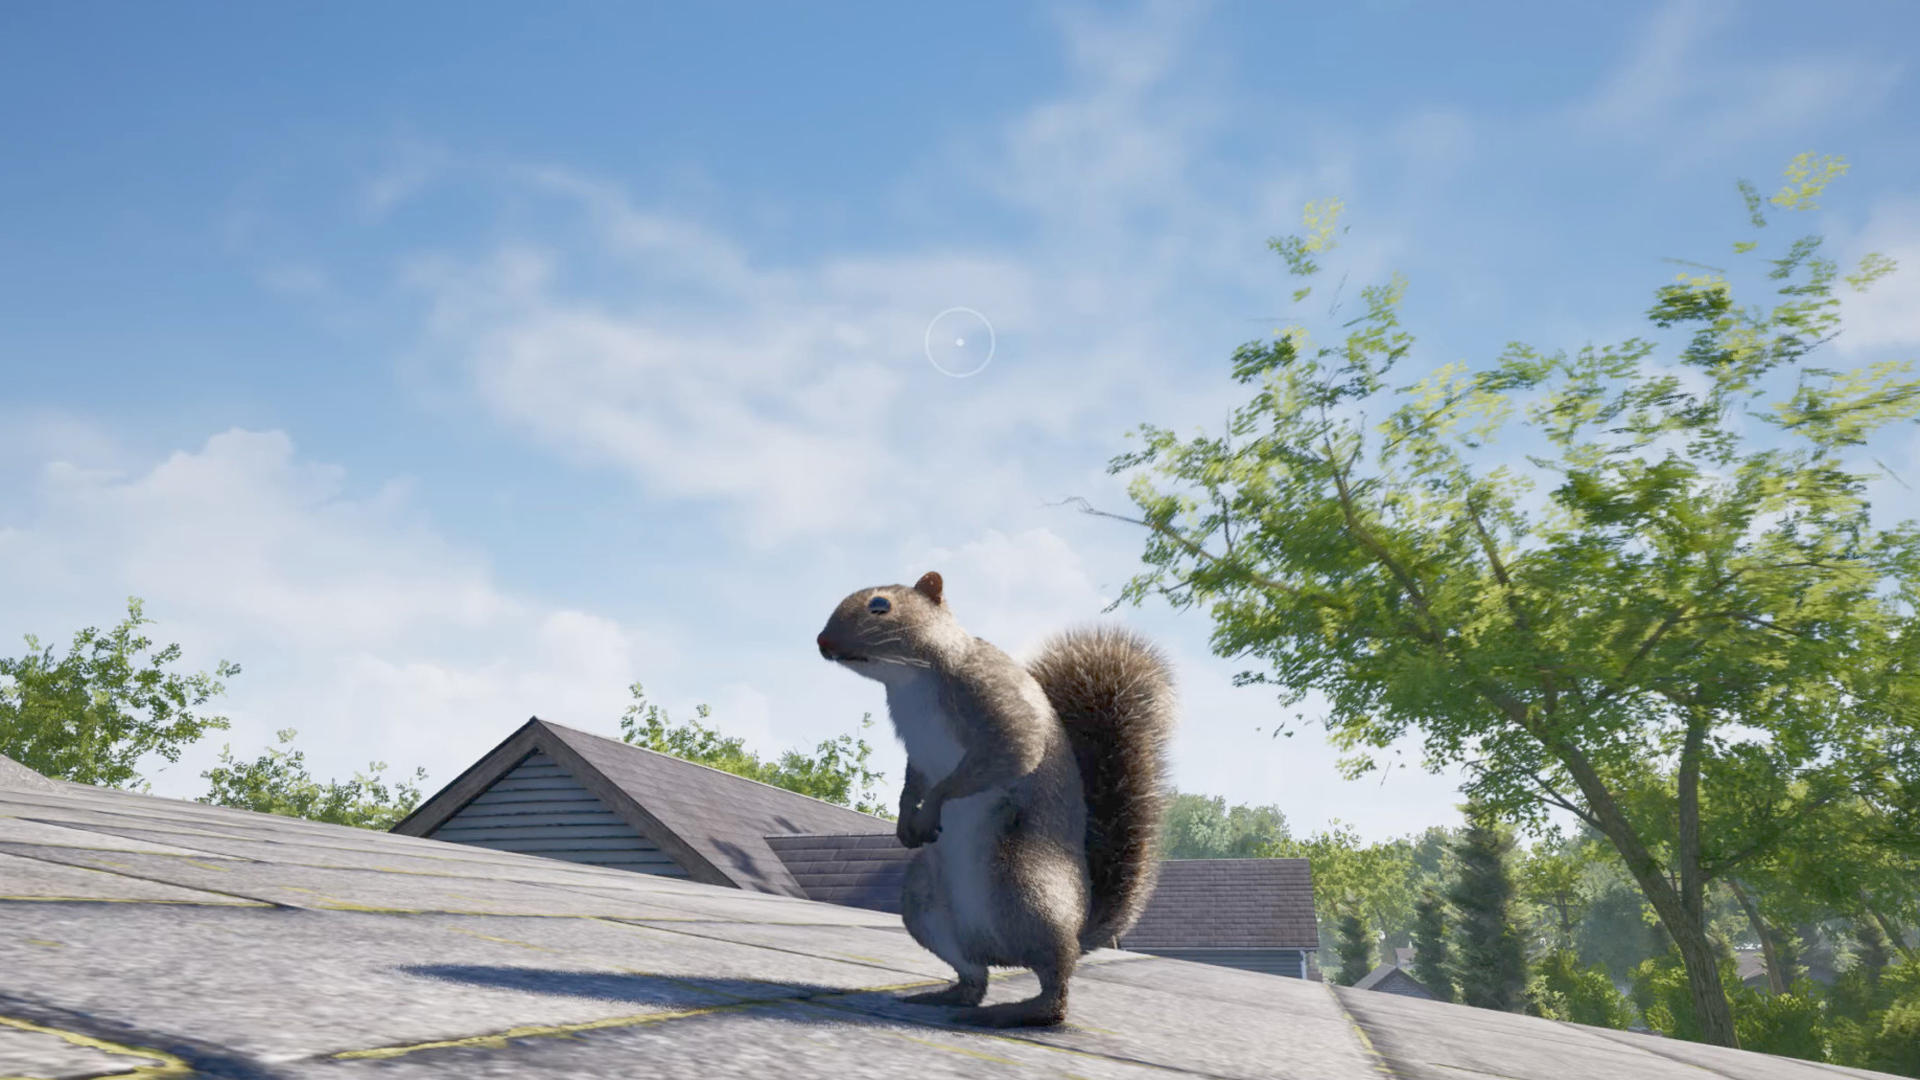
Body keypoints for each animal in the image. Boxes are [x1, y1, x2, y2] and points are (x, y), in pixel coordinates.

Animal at [816, 570, 1175, 1027]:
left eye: (880, 606)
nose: (823, 641)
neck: (911, 680)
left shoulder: (993, 701)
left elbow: (1009, 751)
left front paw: (930, 810)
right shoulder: (916, 749)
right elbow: (913, 780)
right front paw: (905, 820)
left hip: (1026, 888)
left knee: (1055, 986)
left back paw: (1018, 1010)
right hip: (924, 906)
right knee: (974, 977)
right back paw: (946, 997)